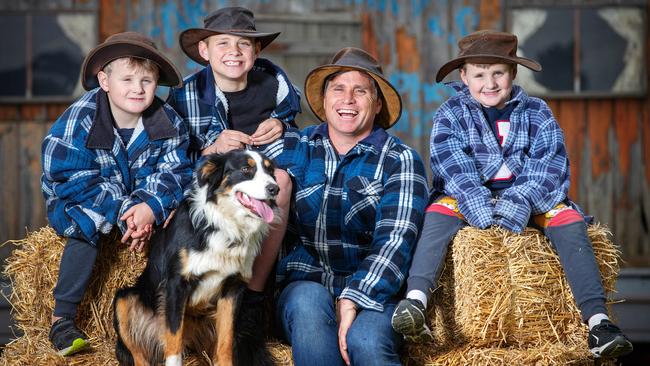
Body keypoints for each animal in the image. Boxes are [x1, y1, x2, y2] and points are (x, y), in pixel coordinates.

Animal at [112, 149, 278, 366]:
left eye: (270, 171)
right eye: (245, 169)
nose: (275, 189)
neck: (225, 226)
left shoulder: (233, 288)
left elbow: (225, 342)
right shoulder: (177, 284)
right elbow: (174, 343)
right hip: (123, 300)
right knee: (140, 355)